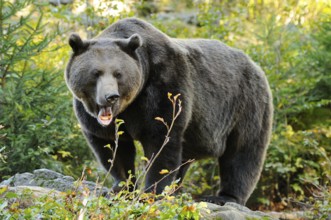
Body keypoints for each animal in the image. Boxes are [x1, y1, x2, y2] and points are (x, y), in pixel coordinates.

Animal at [65, 18, 274, 205]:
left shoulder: (164, 86)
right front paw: (120, 188)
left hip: (245, 103)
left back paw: (224, 197)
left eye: (118, 74)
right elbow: (112, 148)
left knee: (243, 151)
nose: (111, 96)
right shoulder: (95, 118)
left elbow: (161, 143)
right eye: (96, 73)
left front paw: (150, 192)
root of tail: (256, 65)